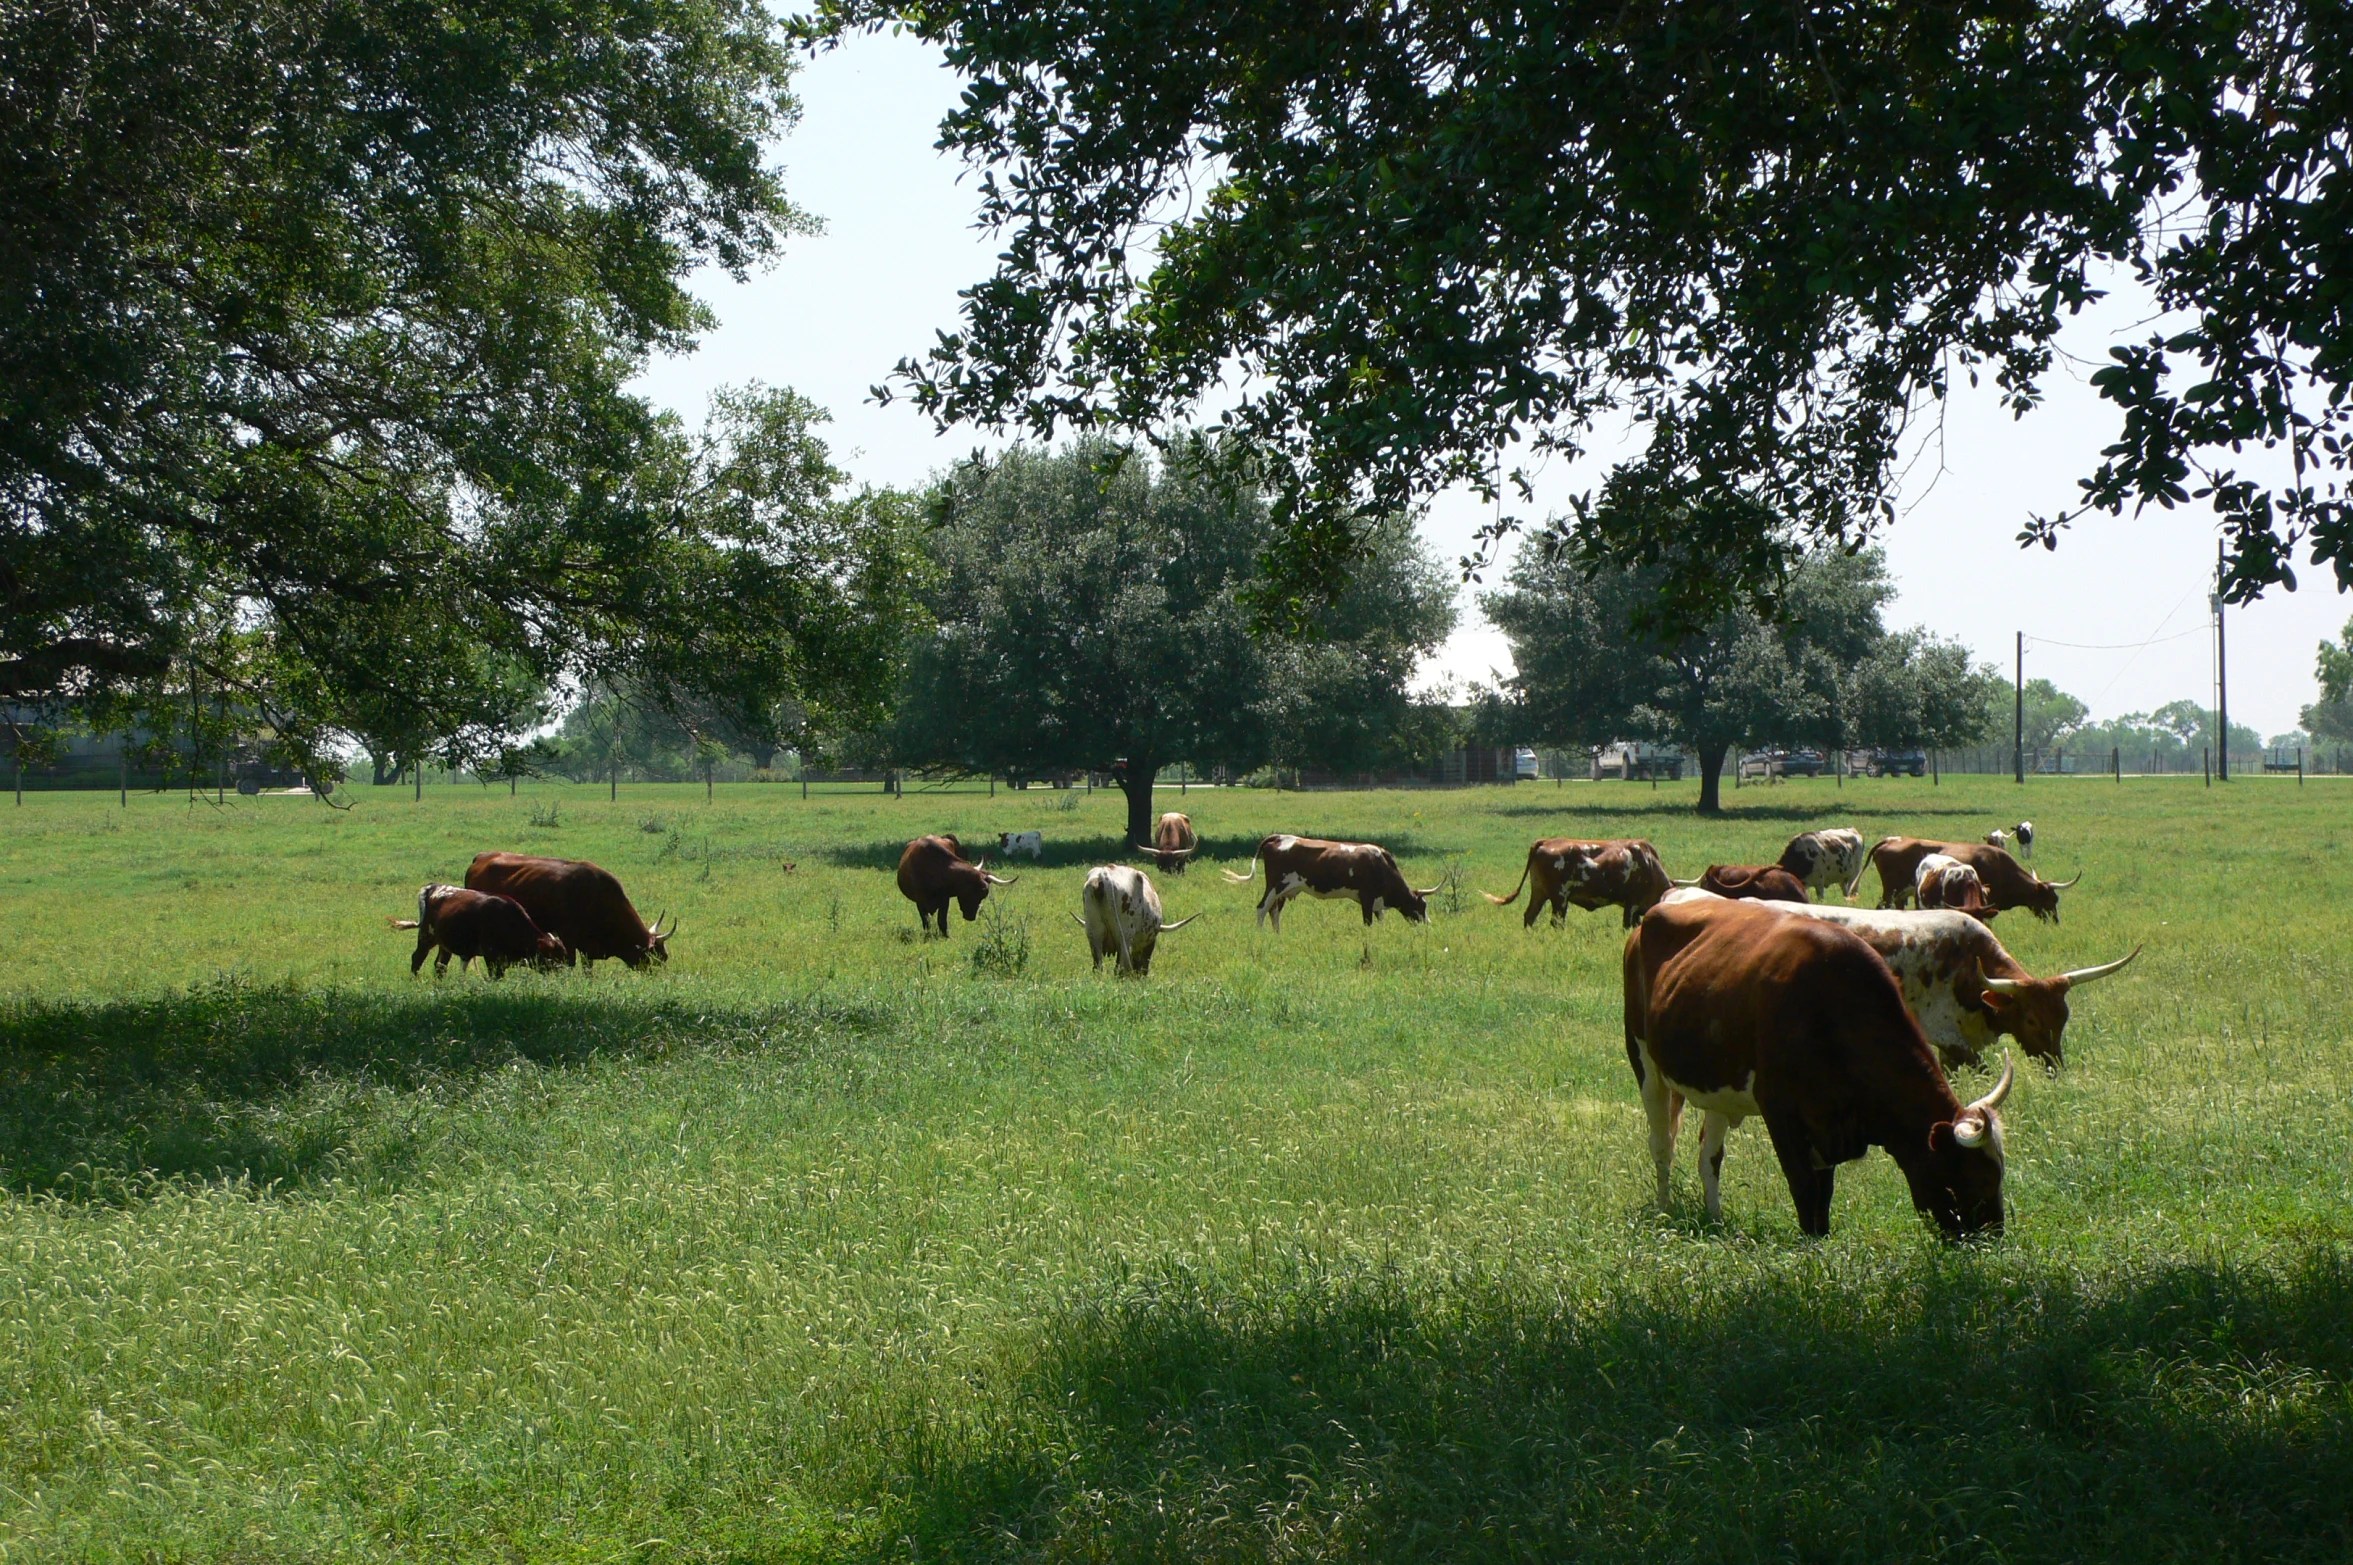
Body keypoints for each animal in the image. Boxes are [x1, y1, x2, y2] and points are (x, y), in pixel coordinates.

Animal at [390, 880, 569, 979]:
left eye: (563, 957)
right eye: (552, 958)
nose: (563, 979)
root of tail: (435, 886)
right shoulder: (492, 957)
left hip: (444, 943)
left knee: (440, 965)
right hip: (426, 935)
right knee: (418, 958)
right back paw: (415, 979)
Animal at [1232, 837, 1430, 922]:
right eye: (1421, 906)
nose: (1427, 924)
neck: (1380, 863)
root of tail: (1280, 836)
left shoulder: (1376, 902)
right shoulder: (1366, 899)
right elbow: (1368, 922)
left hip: (1284, 891)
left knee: (1274, 912)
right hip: (1275, 886)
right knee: (1262, 908)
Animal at [1487, 842, 1675, 927]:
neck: (1648, 863)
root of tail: (1545, 841)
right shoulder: (1631, 905)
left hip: (1539, 893)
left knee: (1530, 916)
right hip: (1559, 898)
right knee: (1557, 922)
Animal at [1618, 898, 2023, 1242]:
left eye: (1999, 1173)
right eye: (1972, 1176)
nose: (1993, 1241)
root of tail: (1655, 914)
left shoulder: (1827, 1125)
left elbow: (1823, 1192)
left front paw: (1821, 1239)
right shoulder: (1781, 1114)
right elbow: (1804, 1186)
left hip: (1717, 1086)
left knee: (1709, 1158)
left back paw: (1716, 1221)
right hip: (1645, 1065)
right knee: (1662, 1146)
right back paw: (1665, 1209)